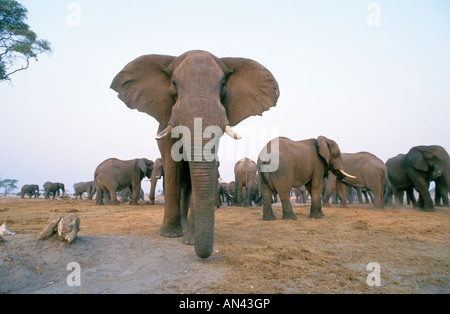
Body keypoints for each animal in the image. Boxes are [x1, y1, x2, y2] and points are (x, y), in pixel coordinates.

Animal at [110, 49, 278, 258]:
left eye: (222, 85)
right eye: (174, 84)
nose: (204, 253)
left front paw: (190, 241)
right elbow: (173, 168)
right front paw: (169, 235)